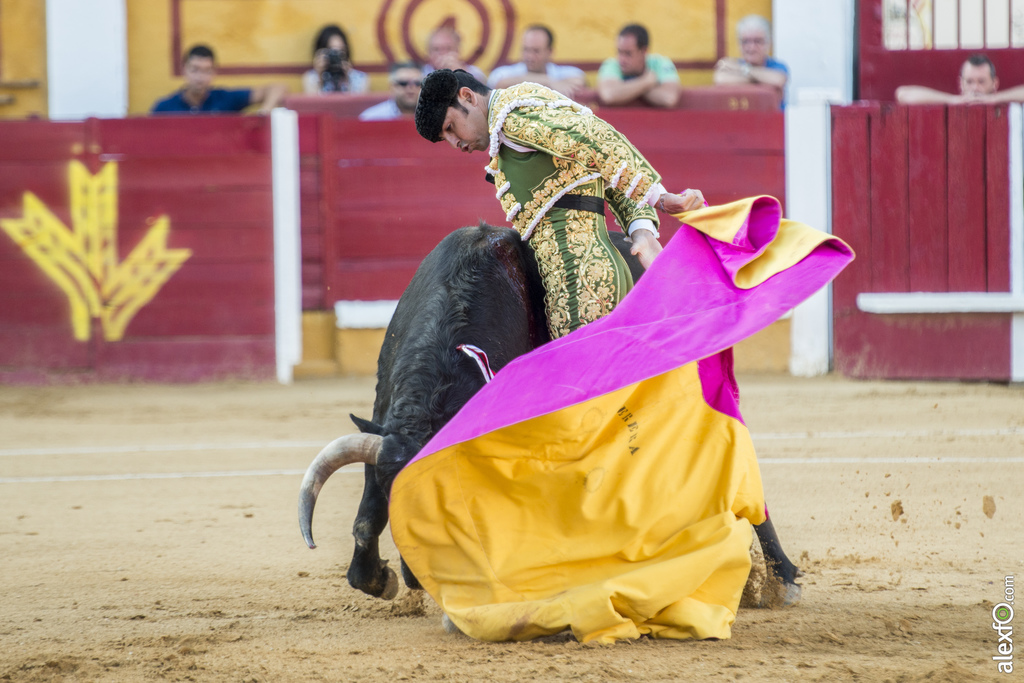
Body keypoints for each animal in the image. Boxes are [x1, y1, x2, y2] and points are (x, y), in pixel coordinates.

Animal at [296, 224, 798, 610]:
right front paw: (378, 579)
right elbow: (366, 519)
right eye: (396, 498)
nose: (420, 578)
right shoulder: (383, 427)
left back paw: (781, 578)